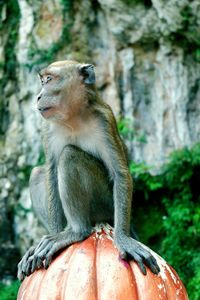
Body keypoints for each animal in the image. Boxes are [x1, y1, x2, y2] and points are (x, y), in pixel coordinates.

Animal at [17, 60, 159, 282]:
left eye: (49, 80)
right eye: (42, 81)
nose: (39, 96)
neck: (72, 118)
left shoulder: (104, 121)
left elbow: (120, 173)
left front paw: (122, 239)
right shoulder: (47, 127)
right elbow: (50, 173)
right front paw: (51, 237)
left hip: (105, 205)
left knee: (69, 156)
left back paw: (77, 231)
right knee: (38, 173)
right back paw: (65, 232)